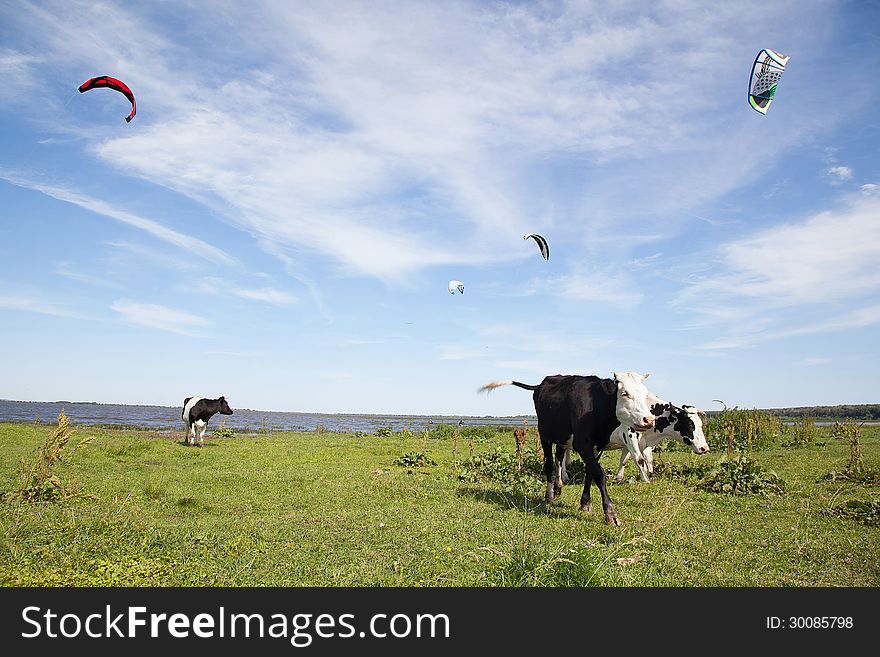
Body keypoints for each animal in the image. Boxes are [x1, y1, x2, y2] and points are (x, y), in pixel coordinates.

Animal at [478, 372, 656, 524]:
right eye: (625, 393)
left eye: (645, 393)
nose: (649, 419)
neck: (596, 405)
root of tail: (543, 383)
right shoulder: (582, 444)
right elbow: (599, 474)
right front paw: (610, 513)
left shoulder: (598, 445)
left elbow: (589, 473)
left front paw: (585, 503)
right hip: (544, 435)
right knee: (549, 463)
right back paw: (549, 494)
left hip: (562, 438)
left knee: (559, 458)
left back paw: (558, 486)